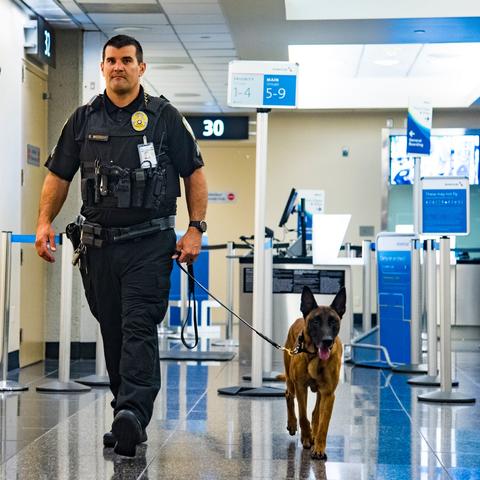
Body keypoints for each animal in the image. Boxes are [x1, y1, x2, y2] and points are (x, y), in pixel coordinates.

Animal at [282, 284, 344, 462]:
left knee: (316, 412)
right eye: (315, 321)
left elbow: (323, 423)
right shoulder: (301, 388)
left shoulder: (328, 394)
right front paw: (307, 437)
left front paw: (319, 447)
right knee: (288, 395)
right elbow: (303, 416)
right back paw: (293, 424)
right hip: (291, 381)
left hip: (320, 393)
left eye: (333, 321)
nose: (327, 341)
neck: (315, 357)